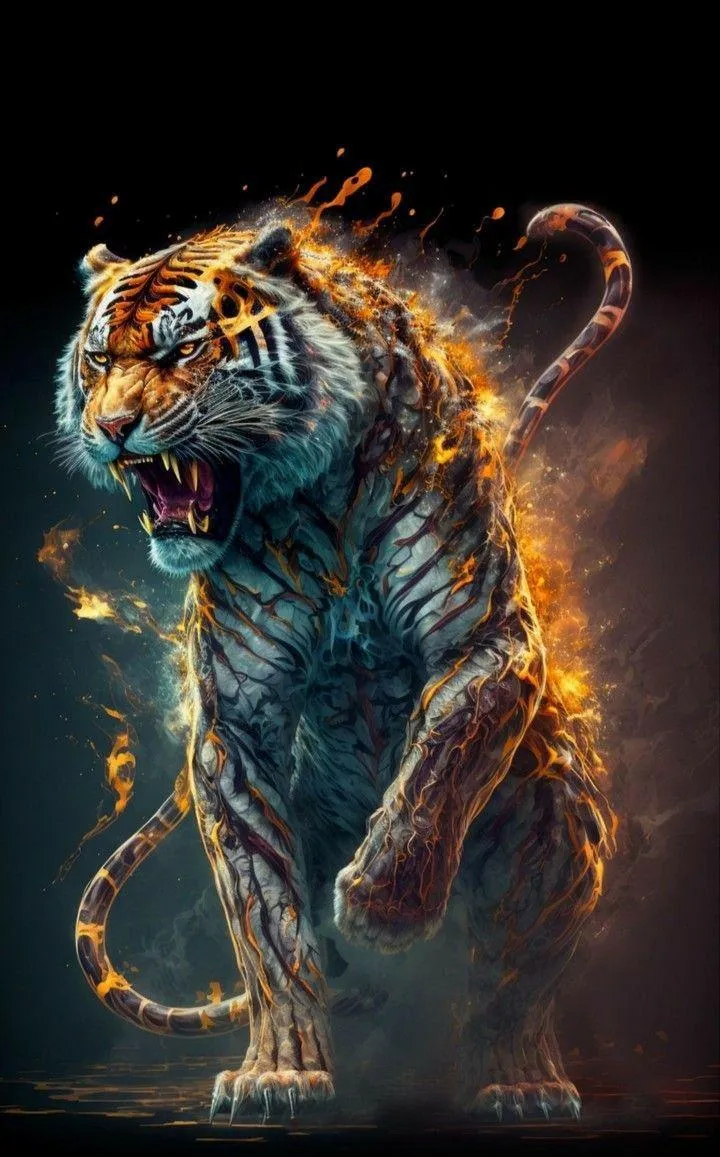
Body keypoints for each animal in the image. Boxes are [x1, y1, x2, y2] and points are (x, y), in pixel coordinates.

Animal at [55, 205, 630, 1123]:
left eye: (183, 351)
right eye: (101, 357)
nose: (110, 430)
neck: (317, 496)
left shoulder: (487, 636)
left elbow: (445, 749)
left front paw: (385, 903)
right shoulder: (237, 721)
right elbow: (268, 924)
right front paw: (281, 1073)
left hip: (558, 808)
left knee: (512, 981)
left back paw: (521, 1081)